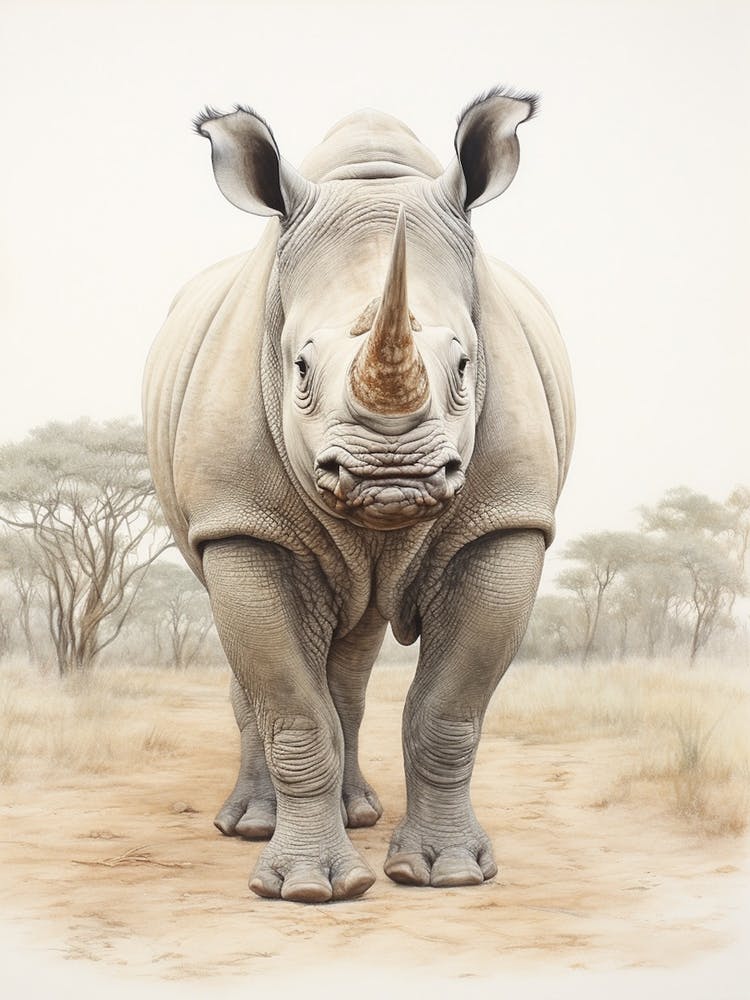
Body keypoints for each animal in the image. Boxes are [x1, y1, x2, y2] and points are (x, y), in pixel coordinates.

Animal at [143, 87, 574, 903]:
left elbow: (450, 708)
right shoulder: (241, 522)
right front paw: (308, 889)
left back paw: (359, 813)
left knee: (354, 645)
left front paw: (446, 874)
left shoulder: (505, 522)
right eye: (301, 370)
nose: (389, 475)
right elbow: (291, 705)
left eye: (464, 364)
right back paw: (250, 824)